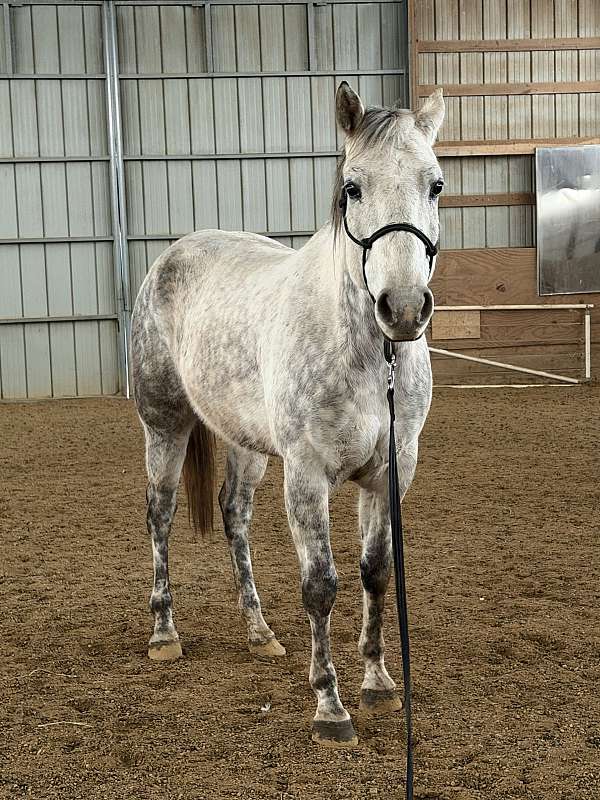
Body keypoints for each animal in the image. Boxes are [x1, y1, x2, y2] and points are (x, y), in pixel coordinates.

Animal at [131, 82, 445, 748]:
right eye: (353, 187)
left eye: (435, 184)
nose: (403, 309)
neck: (365, 353)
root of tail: (174, 255)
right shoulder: (307, 475)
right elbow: (320, 585)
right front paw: (329, 704)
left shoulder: (389, 473)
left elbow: (376, 572)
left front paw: (378, 682)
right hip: (165, 426)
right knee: (160, 515)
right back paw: (164, 634)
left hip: (245, 444)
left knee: (234, 516)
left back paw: (260, 634)